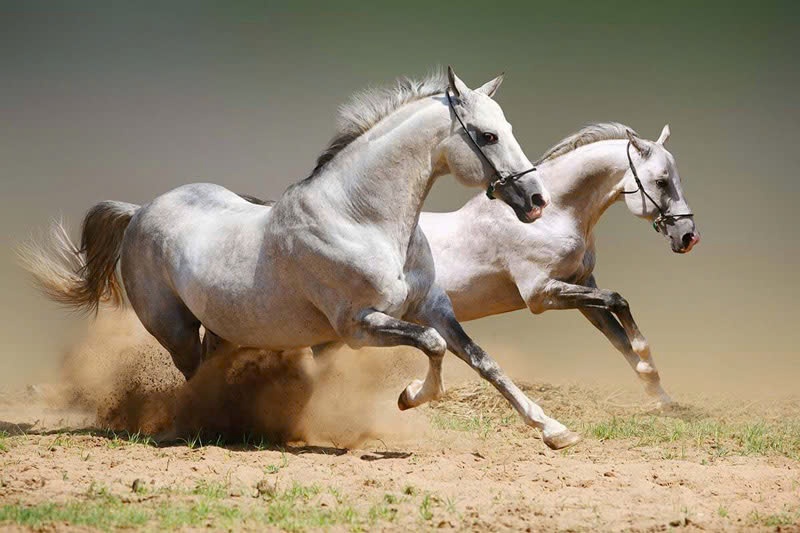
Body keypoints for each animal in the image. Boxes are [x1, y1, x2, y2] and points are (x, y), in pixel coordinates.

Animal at [18, 67, 580, 448]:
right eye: (487, 135)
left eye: (507, 127)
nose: (535, 200)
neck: (361, 219)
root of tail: (139, 212)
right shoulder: (358, 327)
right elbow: (434, 346)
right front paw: (408, 397)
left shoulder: (432, 307)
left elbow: (483, 361)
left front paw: (554, 430)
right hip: (173, 328)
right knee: (193, 375)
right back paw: (203, 426)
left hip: (223, 327)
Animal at [422, 122, 696, 406]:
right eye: (661, 182)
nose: (688, 236)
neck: (551, 217)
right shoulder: (540, 294)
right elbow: (617, 300)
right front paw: (646, 361)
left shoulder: (582, 285)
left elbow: (618, 337)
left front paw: (661, 396)